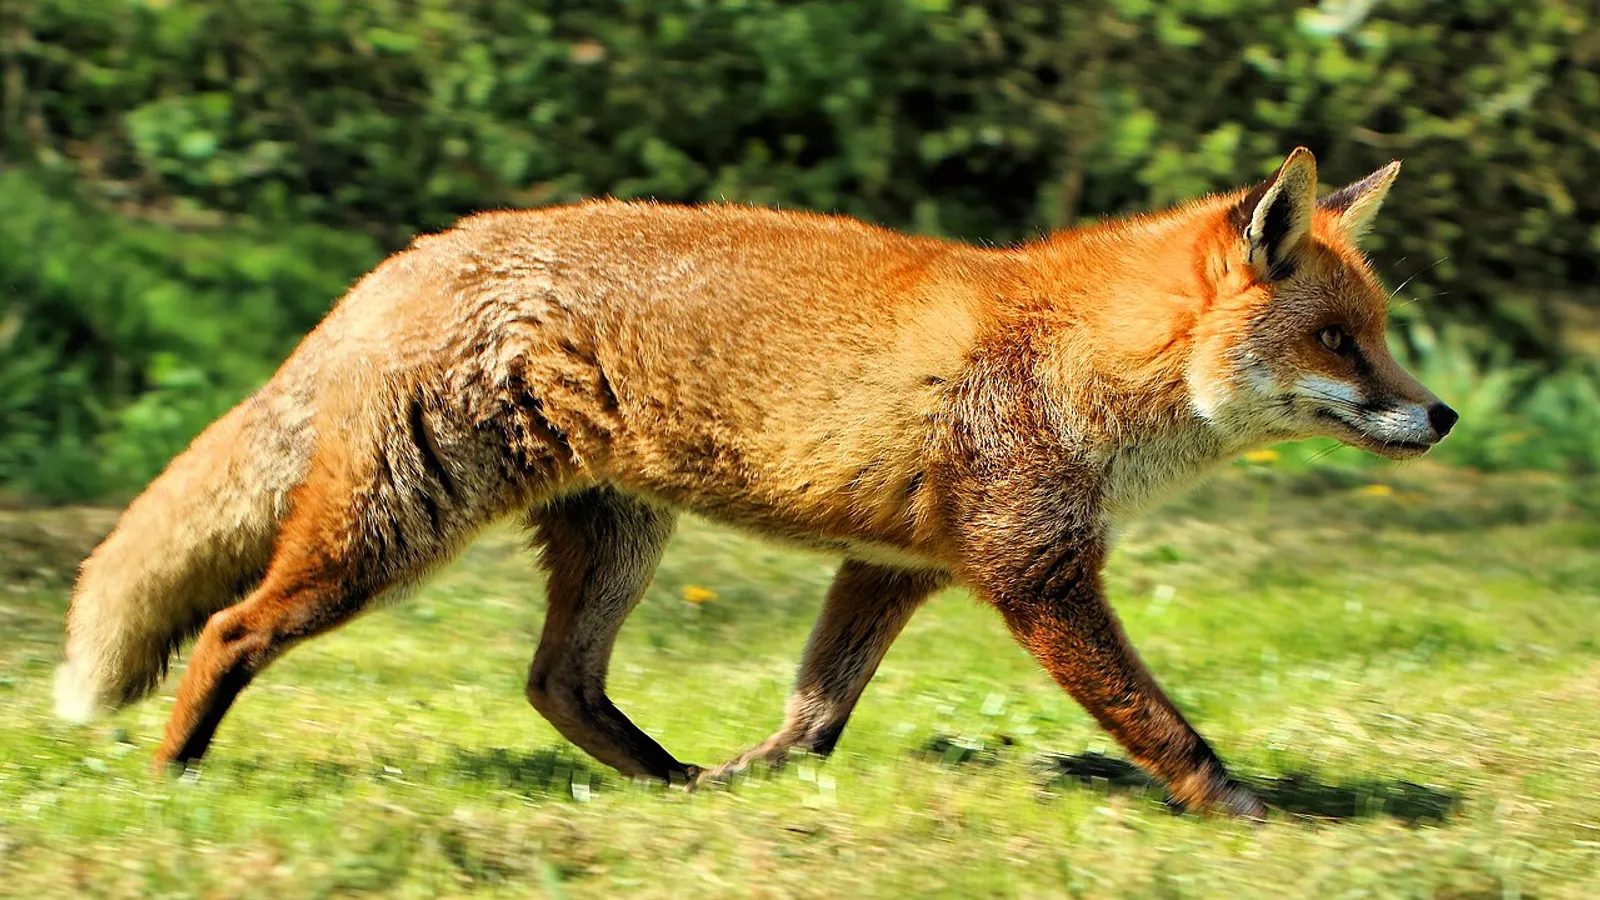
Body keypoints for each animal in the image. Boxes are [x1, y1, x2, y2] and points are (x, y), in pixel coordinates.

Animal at [54, 147, 1455, 819]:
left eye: (1380, 334)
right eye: (1340, 342)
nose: (1438, 414)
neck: (1075, 355)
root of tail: (413, 254)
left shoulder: (894, 569)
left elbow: (815, 711)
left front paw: (758, 786)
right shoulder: (1033, 570)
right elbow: (1160, 722)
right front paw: (1241, 812)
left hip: (617, 542)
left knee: (557, 684)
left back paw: (670, 786)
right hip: (396, 531)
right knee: (229, 630)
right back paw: (173, 778)